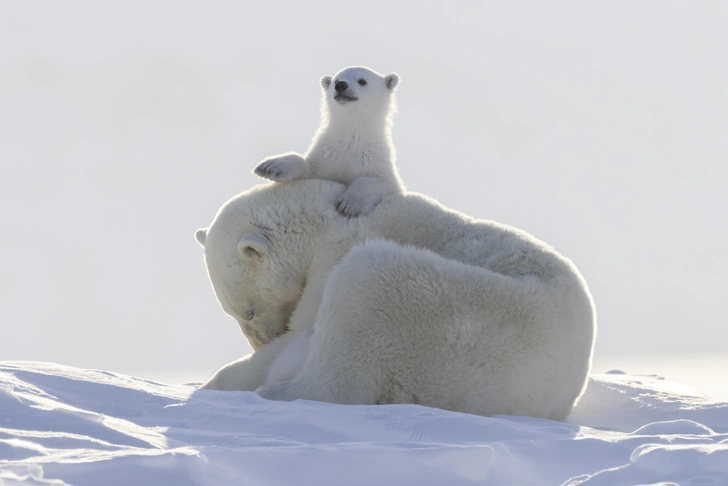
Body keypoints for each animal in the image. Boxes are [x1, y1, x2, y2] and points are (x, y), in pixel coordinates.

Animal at [195, 180, 596, 420]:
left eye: (247, 312)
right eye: (234, 313)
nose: (260, 341)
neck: (323, 224)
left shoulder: (332, 259)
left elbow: (304, 327)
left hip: (445, 314)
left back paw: (270, 392)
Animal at [253, 66, 404, 216]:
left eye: (362, 81)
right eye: (336, 80)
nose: (341, 85)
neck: (351, 138)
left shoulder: (374, 160)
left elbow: (378, 181)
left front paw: (349, 205)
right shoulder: (327, 156)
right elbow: (309, 168)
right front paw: (270, 167)